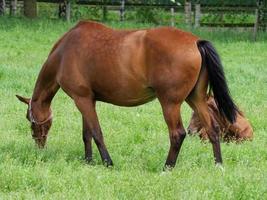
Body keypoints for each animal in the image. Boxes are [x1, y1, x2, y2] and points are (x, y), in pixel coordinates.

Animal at [16, 20, 239, 169]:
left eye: (29, 119)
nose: (39, 144)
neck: (64, 53)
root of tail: (195, 42)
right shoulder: (87, 100)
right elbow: (87, 134)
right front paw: (88, 161)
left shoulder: (82, 100)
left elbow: (96, 132)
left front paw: (107, 162)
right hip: (196, 99)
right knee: (213, 128)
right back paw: (218, 165)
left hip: (170, 103)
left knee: (177, 134)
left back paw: (167, 167)